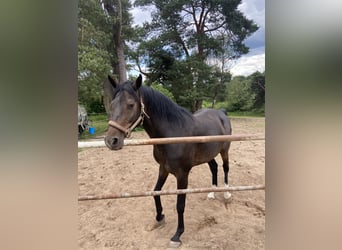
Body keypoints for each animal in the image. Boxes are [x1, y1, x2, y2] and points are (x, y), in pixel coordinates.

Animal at [104, 74, 232, 246]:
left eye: (131, 104)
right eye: (112, 104)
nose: (112, 141)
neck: (172, 133)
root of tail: (221, 112)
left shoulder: (182, 174)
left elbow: (180, 205)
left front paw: (177, 234)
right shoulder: (163, 168)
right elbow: (155, 192)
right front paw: (159, 218)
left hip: (225, 150)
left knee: (225, 168)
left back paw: (226, 194)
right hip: (209, 154)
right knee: (214, 167)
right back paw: (211, 193)